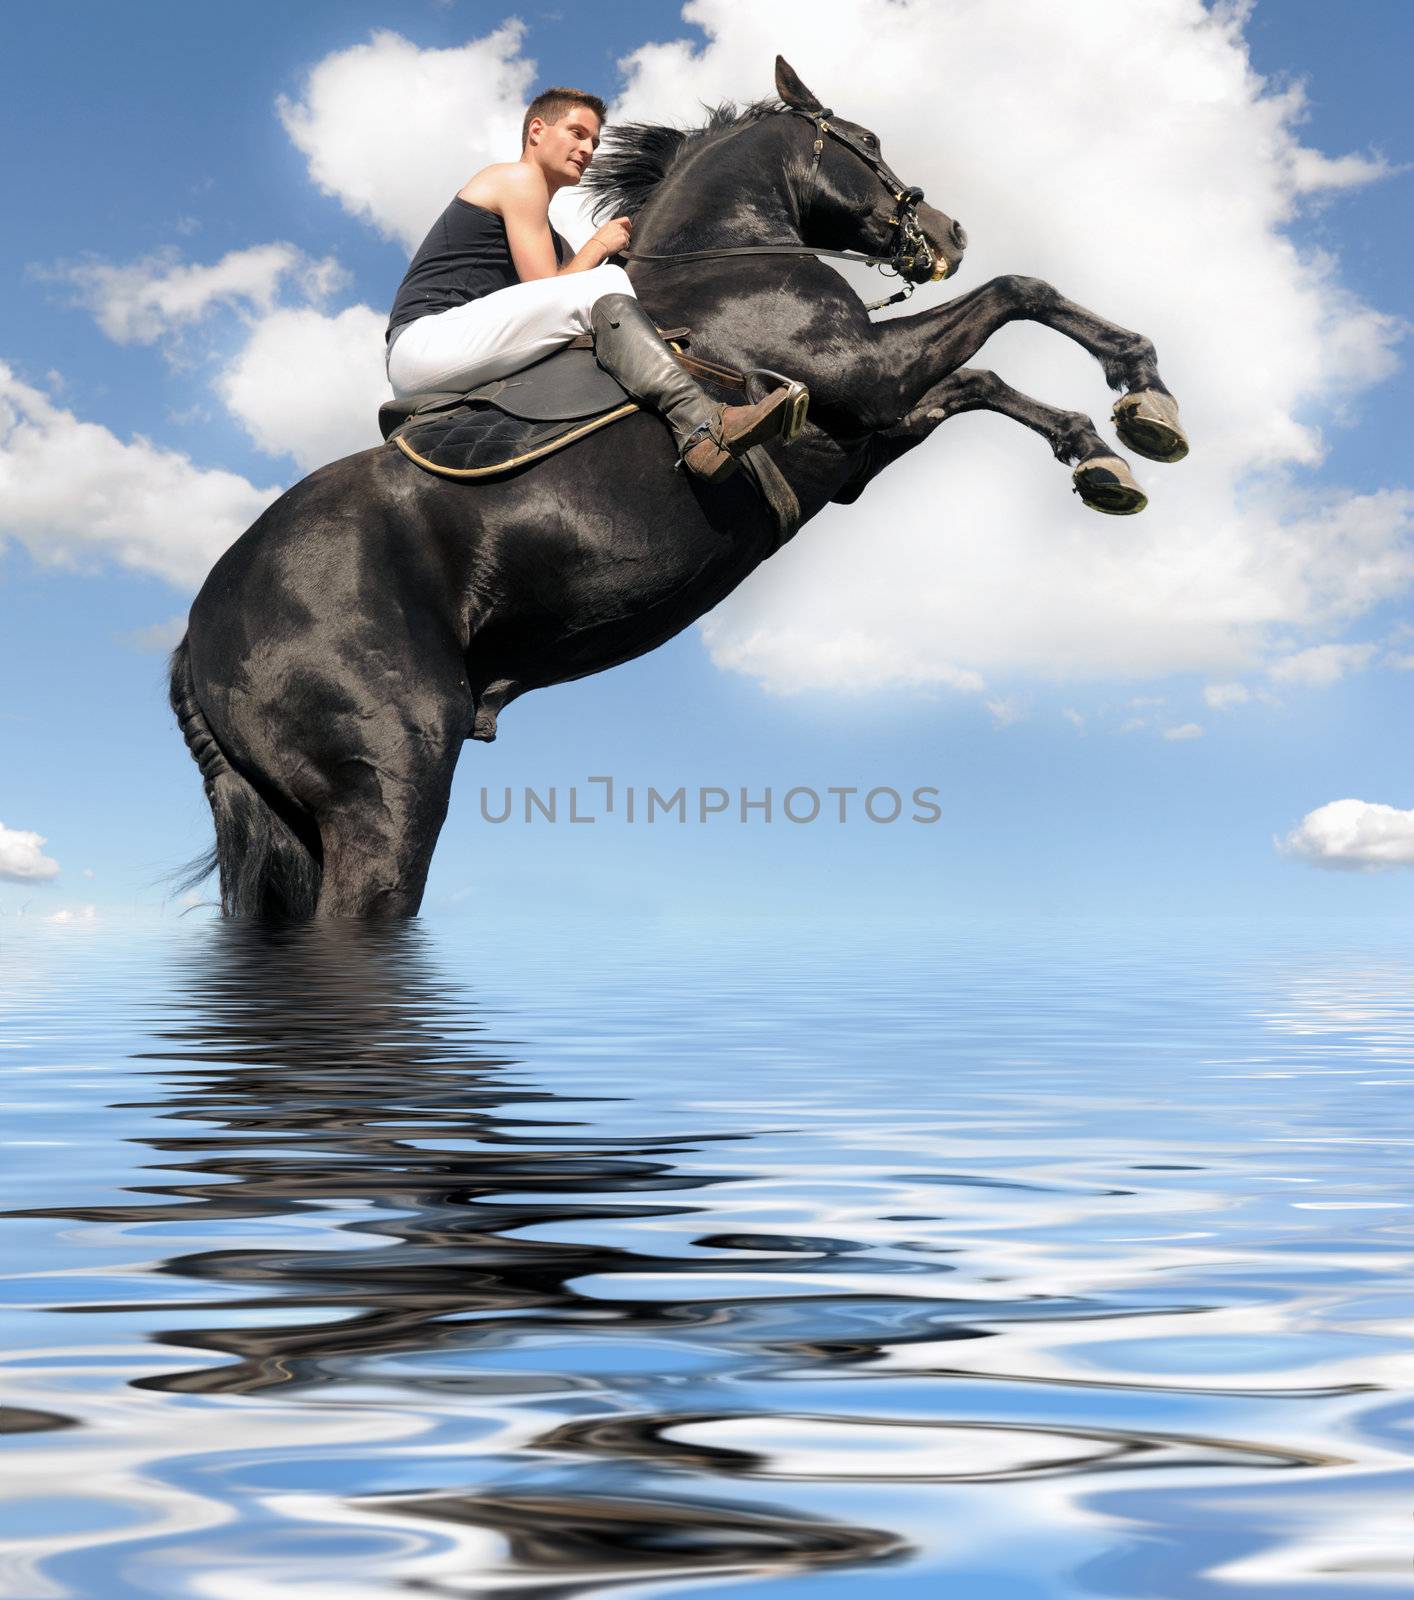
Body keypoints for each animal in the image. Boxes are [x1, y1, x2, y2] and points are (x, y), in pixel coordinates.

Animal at [176, 59, 1190, 915]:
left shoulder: (870, 425)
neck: (727, 262)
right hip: (390, 783)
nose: (948, 234)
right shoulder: (865, 373)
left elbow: (983, 381)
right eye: (866, 138)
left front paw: (1102, 456)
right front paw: (1144, 391)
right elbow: (1020, 293)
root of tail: (197, 639)